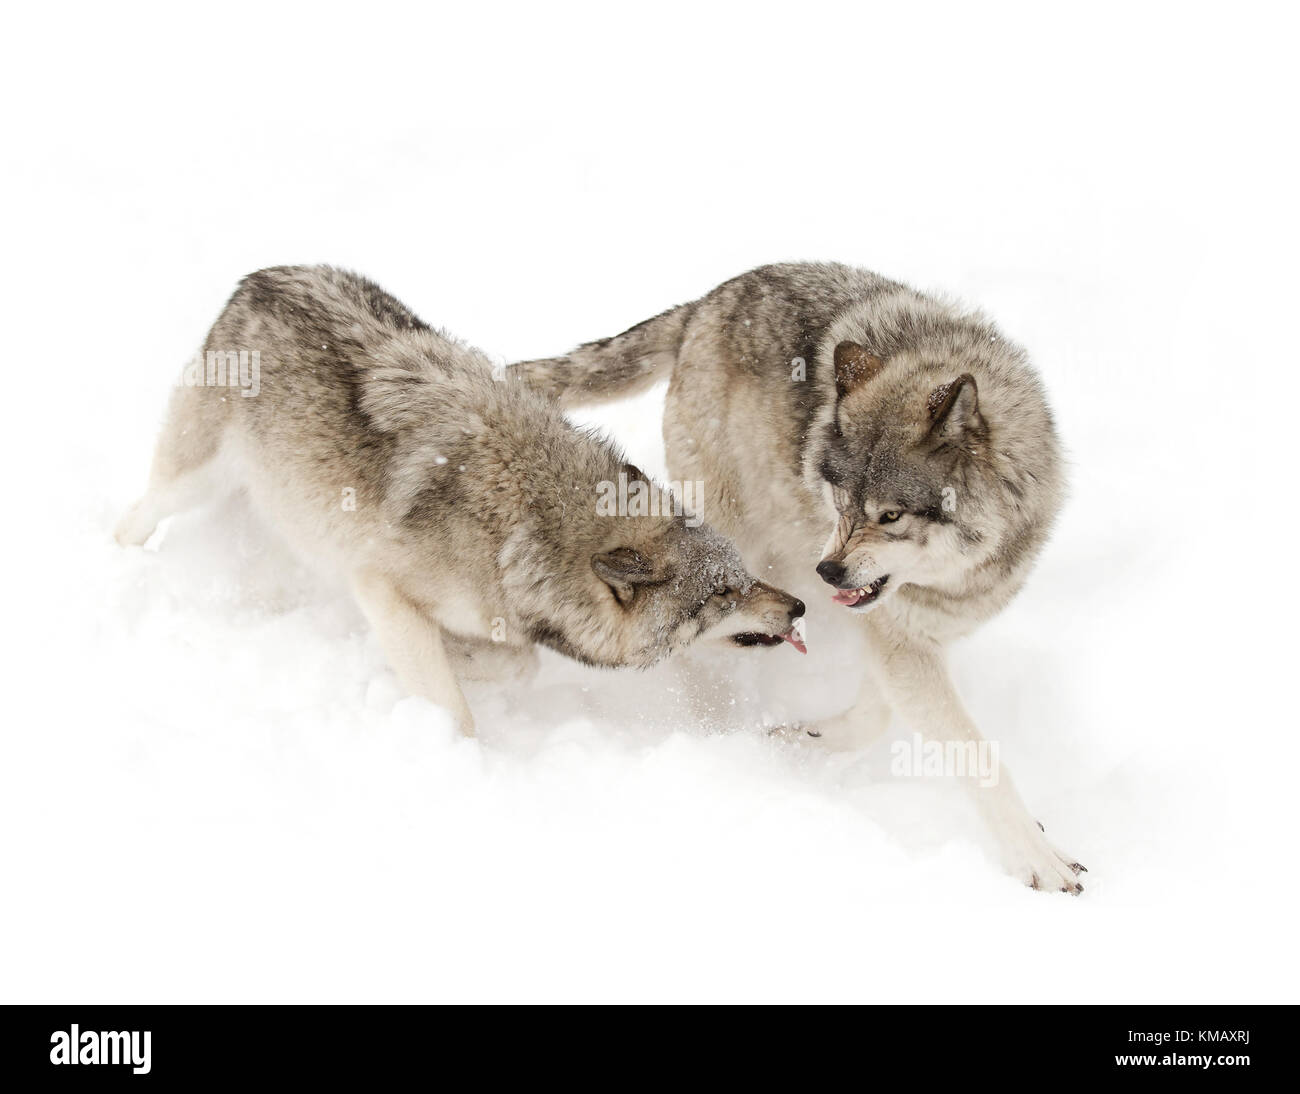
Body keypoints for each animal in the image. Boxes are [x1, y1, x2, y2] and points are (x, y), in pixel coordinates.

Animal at [116, 266, 806, 734]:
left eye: (746, 574)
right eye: (723, 594)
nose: (799, 606)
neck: (524, 527)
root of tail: (261, 277)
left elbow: (518, 662)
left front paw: (466, 656)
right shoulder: (379, 587)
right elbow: (464, 699)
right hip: (193, 476)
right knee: (136, 516)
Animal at [514, 262, 1083, 892]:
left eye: (890, 516)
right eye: (840, 499)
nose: (828, 571)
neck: (962, 571)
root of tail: (705, 304)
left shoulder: (906, 634)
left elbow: (880, 710)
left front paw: (812, 737)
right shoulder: (900, 636)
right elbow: (972, 752)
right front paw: (1038, 858)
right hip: (739, 546)